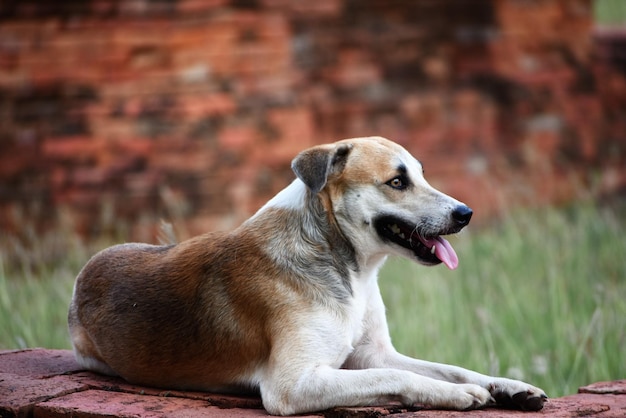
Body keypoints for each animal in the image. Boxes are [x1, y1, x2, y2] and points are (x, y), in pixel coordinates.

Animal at [68, 137, 544, 414]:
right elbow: (399, 378)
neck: (350, 268)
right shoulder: (294, 385)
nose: (465, 214)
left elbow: (451, 368)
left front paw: (509, 387)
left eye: (422, 175)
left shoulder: (373, 354)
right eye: (396, 182)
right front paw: (457, 396)